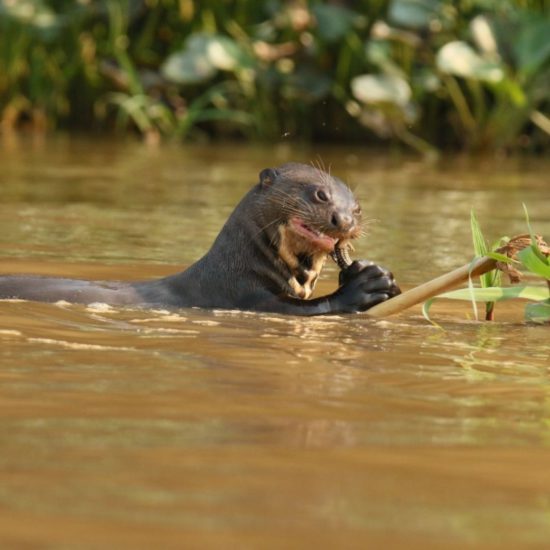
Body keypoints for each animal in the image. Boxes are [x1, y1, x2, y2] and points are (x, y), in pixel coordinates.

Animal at [0, 163, 398, 314]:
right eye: (320, 195)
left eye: (358, 208)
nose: (344, 220)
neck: (238, 267)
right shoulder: (242, 294)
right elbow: (307, 309)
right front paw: (364, 285)